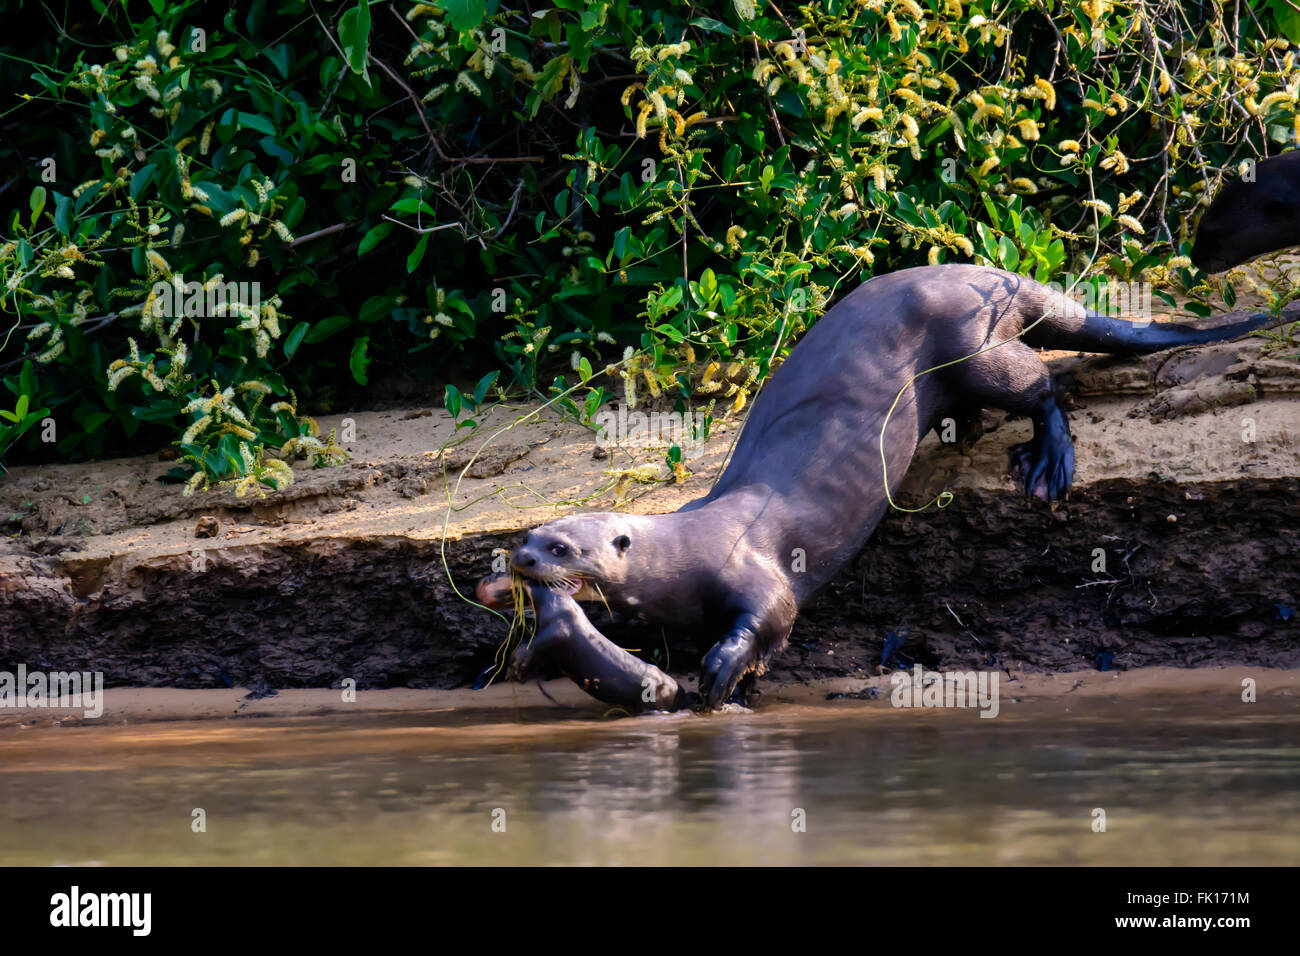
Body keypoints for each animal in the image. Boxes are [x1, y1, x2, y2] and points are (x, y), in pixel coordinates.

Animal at [499, 261, 1289, 712]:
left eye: (563, 547)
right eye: (531, 535)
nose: (519, 558)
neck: (686, 550)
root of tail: (991, 272)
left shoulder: (755, 569)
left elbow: (773, 615)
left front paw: (722, 673)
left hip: (976, 343)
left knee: (1040, 384)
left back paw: (1046, 461)